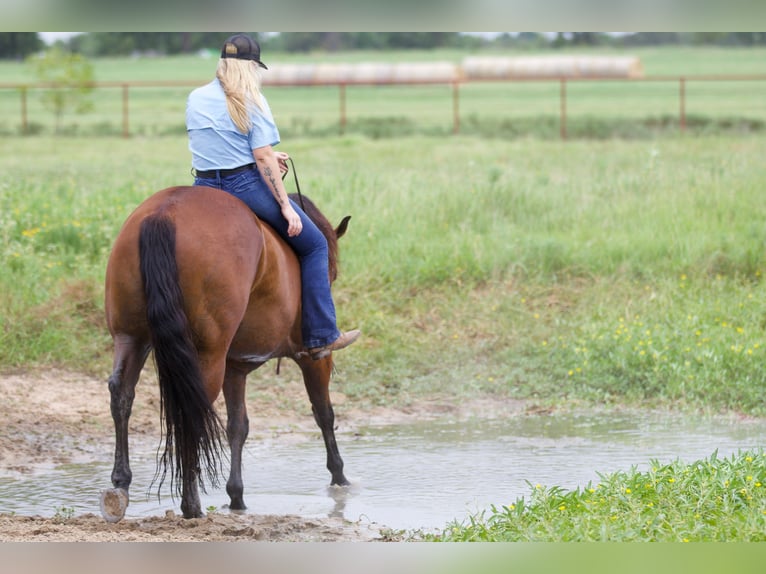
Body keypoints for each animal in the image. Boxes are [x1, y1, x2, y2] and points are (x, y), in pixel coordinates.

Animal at [100, 187, 352, 524]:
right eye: (331, 274)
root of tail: (164, 213)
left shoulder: (235, 367)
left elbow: (238, 426)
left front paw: (236, 497)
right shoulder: (312, 357)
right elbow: (324, 413)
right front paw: (340, 477)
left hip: (131, 337)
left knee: (122, 395)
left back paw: (120, 486)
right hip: (208, 355)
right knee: (191, 410)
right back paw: (191, 504)